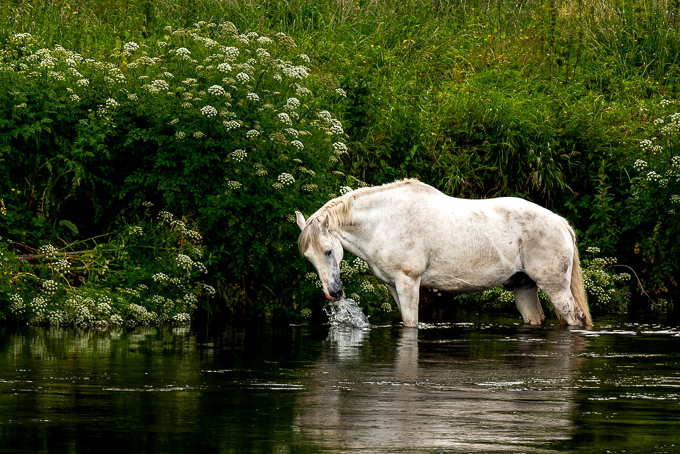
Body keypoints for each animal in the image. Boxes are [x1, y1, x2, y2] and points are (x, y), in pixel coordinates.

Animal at [295, 179, 592, 328]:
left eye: (329, 251)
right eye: (309, 258)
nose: (334, 293)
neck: (386, 222)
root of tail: (561, 223)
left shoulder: (409, 283)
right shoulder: (393, 286)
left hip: (555, 288)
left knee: (575, 318)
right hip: (524, 287)